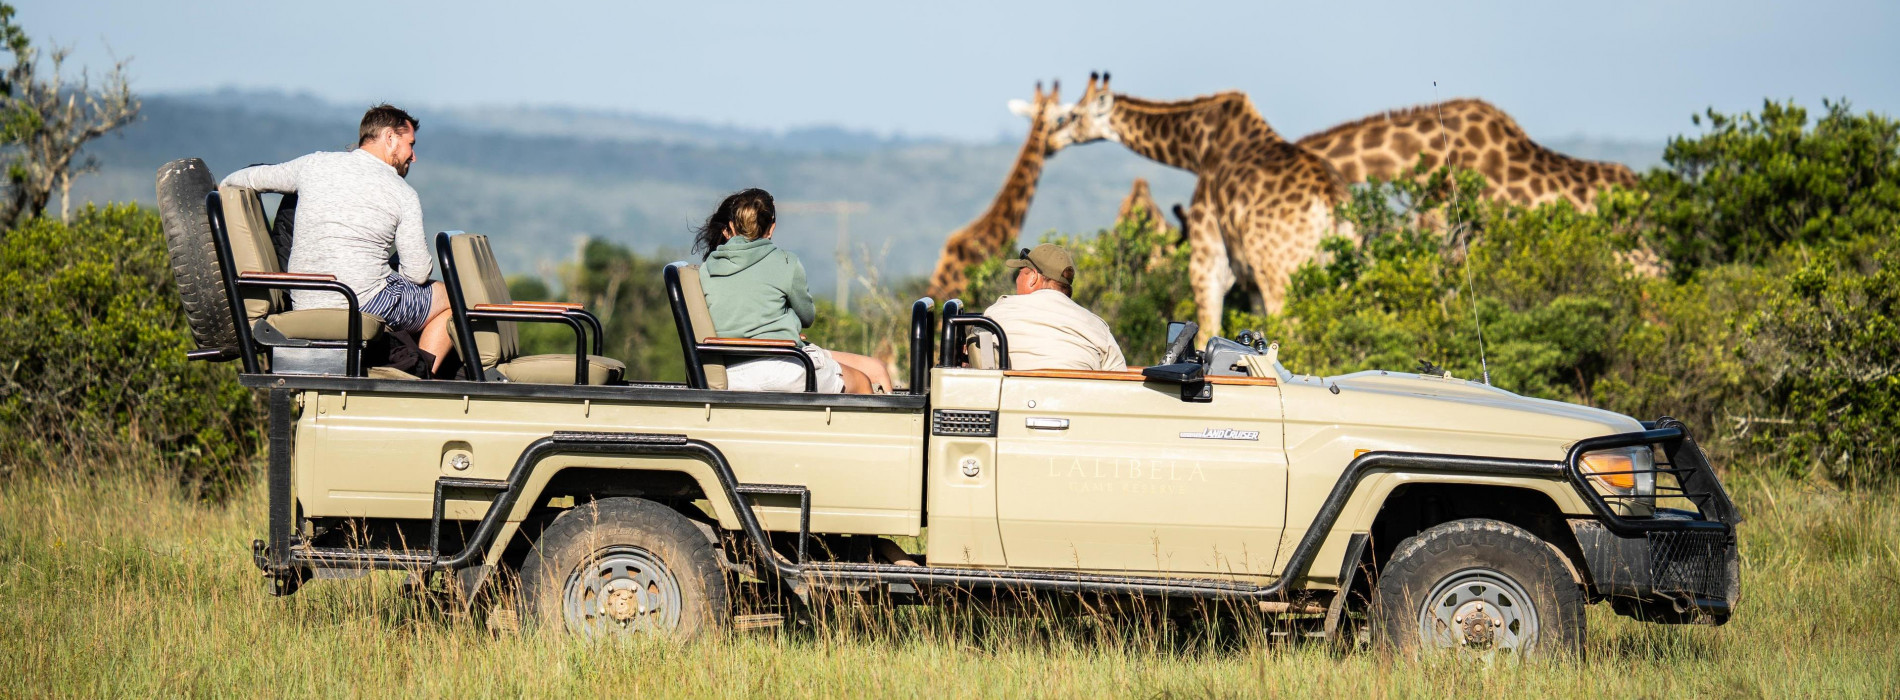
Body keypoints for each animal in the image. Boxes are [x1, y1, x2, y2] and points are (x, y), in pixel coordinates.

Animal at [1046, 73, 1348, 341]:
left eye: (1073, 115)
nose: (1050, 141)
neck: (1198, 147)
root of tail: (1329, 198)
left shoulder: (1208, 255)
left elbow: (1207, 330)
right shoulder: (1248, 277)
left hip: (1282, 273)